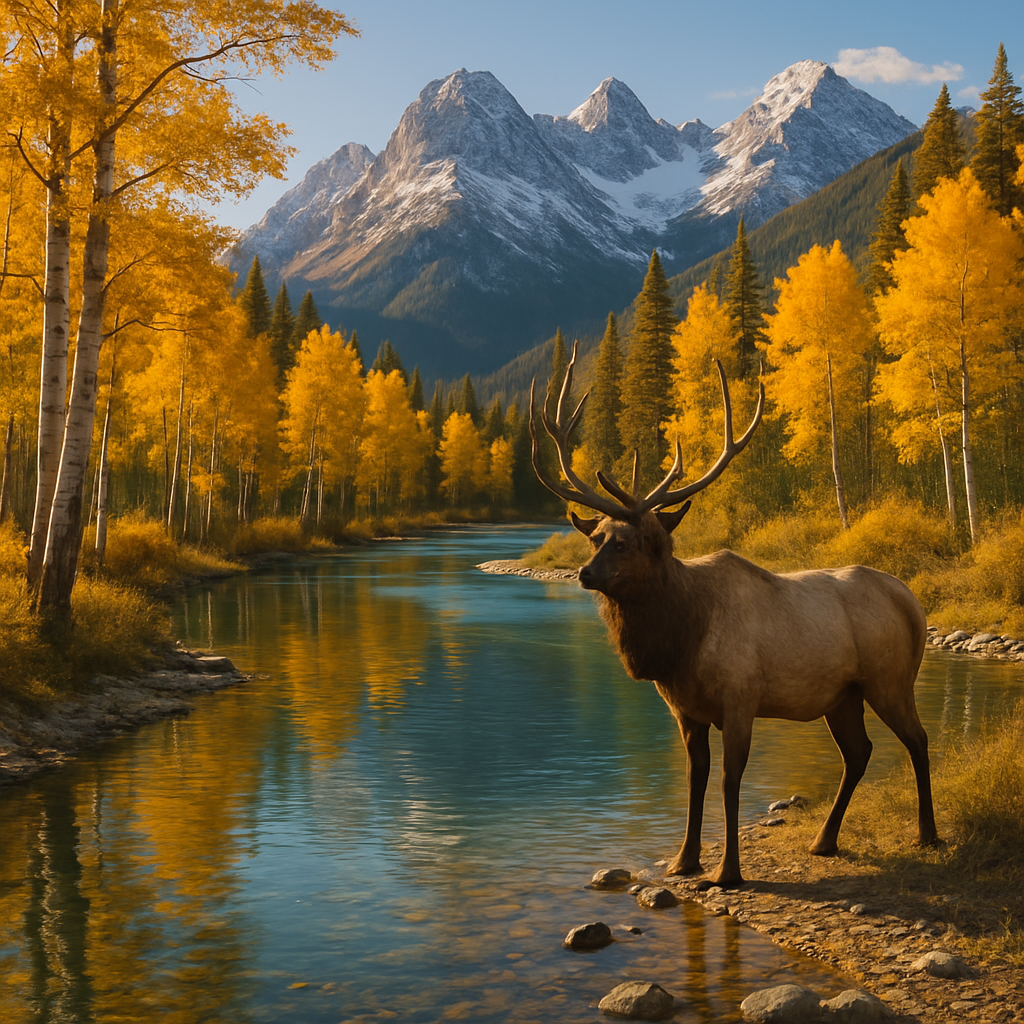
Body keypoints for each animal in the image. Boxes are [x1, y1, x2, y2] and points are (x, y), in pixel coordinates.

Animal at [530, 342, 939, 888]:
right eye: (596, 537)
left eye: (636, 541)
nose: (585, 572)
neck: (679, 643)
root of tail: (912, 601)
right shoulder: (685, 710)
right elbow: (696, 779)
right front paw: (684, 861)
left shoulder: (740, 699)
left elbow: (728, 782)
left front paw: (727, 872)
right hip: (841, 695)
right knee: (859, 753)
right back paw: (824, 841)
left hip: (890, 679)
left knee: (917, 738)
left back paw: (927, 834)